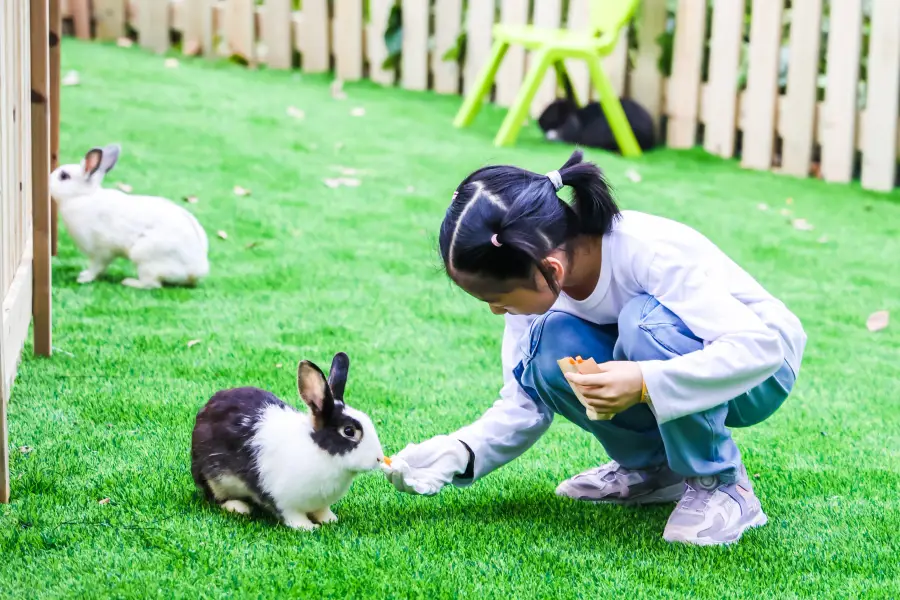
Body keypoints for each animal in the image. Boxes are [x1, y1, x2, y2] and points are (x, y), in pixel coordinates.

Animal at [50, 143, 210, 288]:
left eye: (64, 176)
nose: (48, 179)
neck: (81, 196)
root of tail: (197, 271)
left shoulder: (101, 252)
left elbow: (97, 267)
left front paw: (84, 278)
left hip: (144, 257)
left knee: (152, 284)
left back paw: (129, 282)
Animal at [190, 352, 386, 528]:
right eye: (348, 431)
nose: (378, 458)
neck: (322, 453)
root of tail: (205, 410)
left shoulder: (320, 503)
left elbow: (322, 510)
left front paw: (329, 520)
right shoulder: (281, 500)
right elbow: (292, 515)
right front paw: (308, 527)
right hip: (214, 479)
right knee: (215, 497)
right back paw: (239, 507)